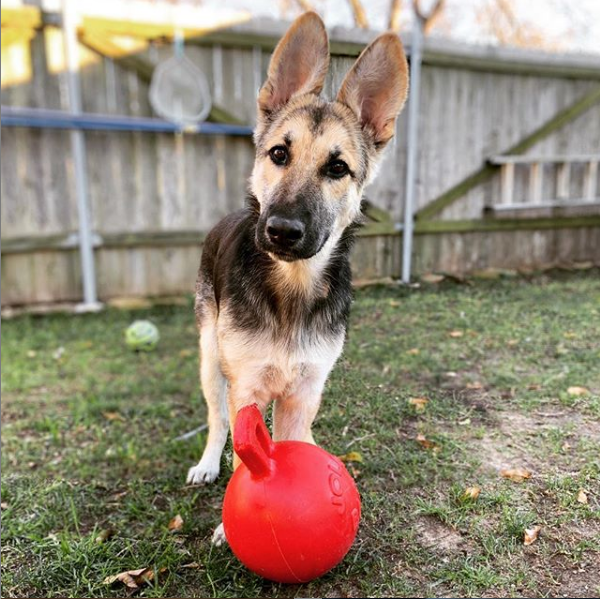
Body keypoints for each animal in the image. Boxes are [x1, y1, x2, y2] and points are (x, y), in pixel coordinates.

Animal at [188, 10, 410, 544]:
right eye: (279, 155)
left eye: (337, 167)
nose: (282, 231)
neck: (291, 288)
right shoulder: (246, 387)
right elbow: (243, 450)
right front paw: (231, 525)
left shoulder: (305, 389)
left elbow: (288, 443)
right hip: (210, 358)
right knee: (216, 418)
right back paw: (208, 463)